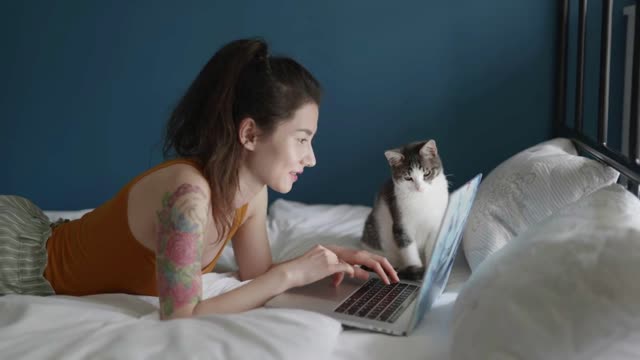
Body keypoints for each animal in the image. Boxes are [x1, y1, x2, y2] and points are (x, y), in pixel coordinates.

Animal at [360, 139, 450, 280]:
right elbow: (408, 249)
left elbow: (433, 244)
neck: (422, 199)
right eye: (408, 178)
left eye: (426, 173)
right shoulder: (401, 224)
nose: (419, 187)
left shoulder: (436, 224)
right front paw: (416, 269)